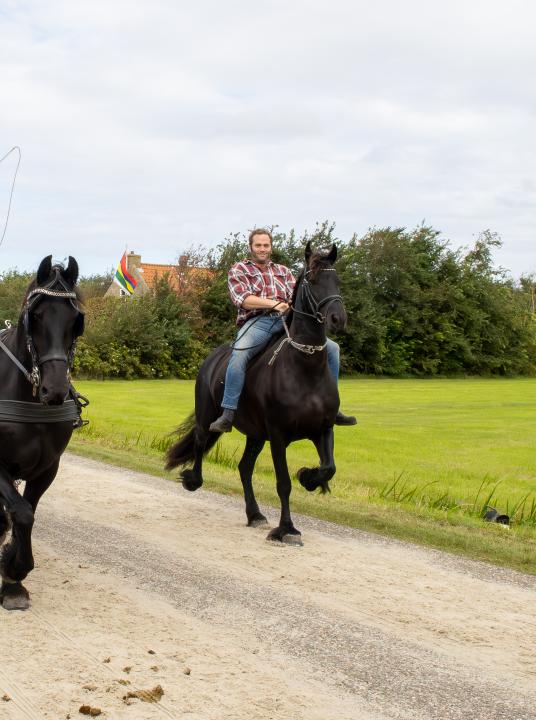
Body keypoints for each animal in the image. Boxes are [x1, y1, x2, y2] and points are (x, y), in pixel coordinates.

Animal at [168, 243, 348, 544]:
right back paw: (193, 480)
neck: (304, 367)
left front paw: (309, 478)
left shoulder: (323, 429)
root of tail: (212, 358)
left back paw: (255, 515)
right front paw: (286, 529)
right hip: (208, 417)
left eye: (337, 280)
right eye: (312, 279)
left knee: (244, 467)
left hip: (255, 434)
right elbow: (283, 483)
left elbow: (330, 468)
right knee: (200, 443)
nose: (338, 318)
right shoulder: (278, 435)